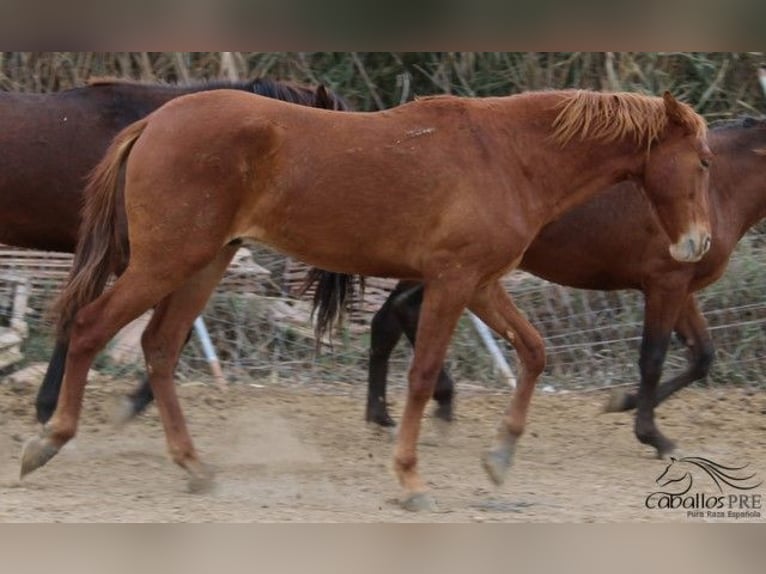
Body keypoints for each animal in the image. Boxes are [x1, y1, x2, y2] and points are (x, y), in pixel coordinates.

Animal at [350, 116, 766, 460]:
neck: (719, 188)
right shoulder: (665, 284)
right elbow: (653, 358)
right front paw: (652, 435)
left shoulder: (682, 288)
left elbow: (702, 356)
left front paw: (624, 402)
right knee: (403, 312)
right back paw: (433, 401)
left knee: (387, 320)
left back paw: (384, 414)